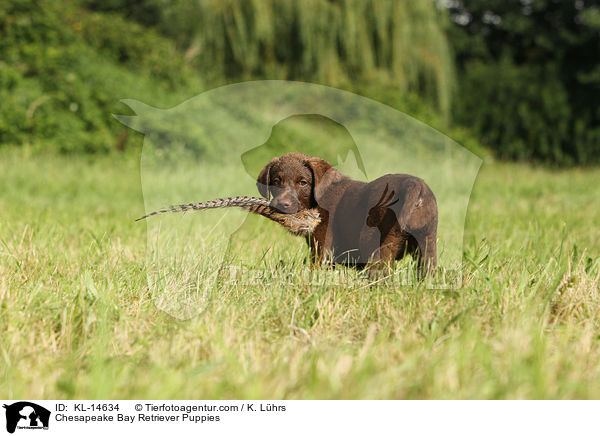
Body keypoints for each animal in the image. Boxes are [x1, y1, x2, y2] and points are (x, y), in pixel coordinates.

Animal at [255, 152, 438, 274]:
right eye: (276, 181)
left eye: (303, 183)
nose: (281, 204)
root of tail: (416, 184)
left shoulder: (322, 244)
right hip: (428, 242)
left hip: (377, 239)